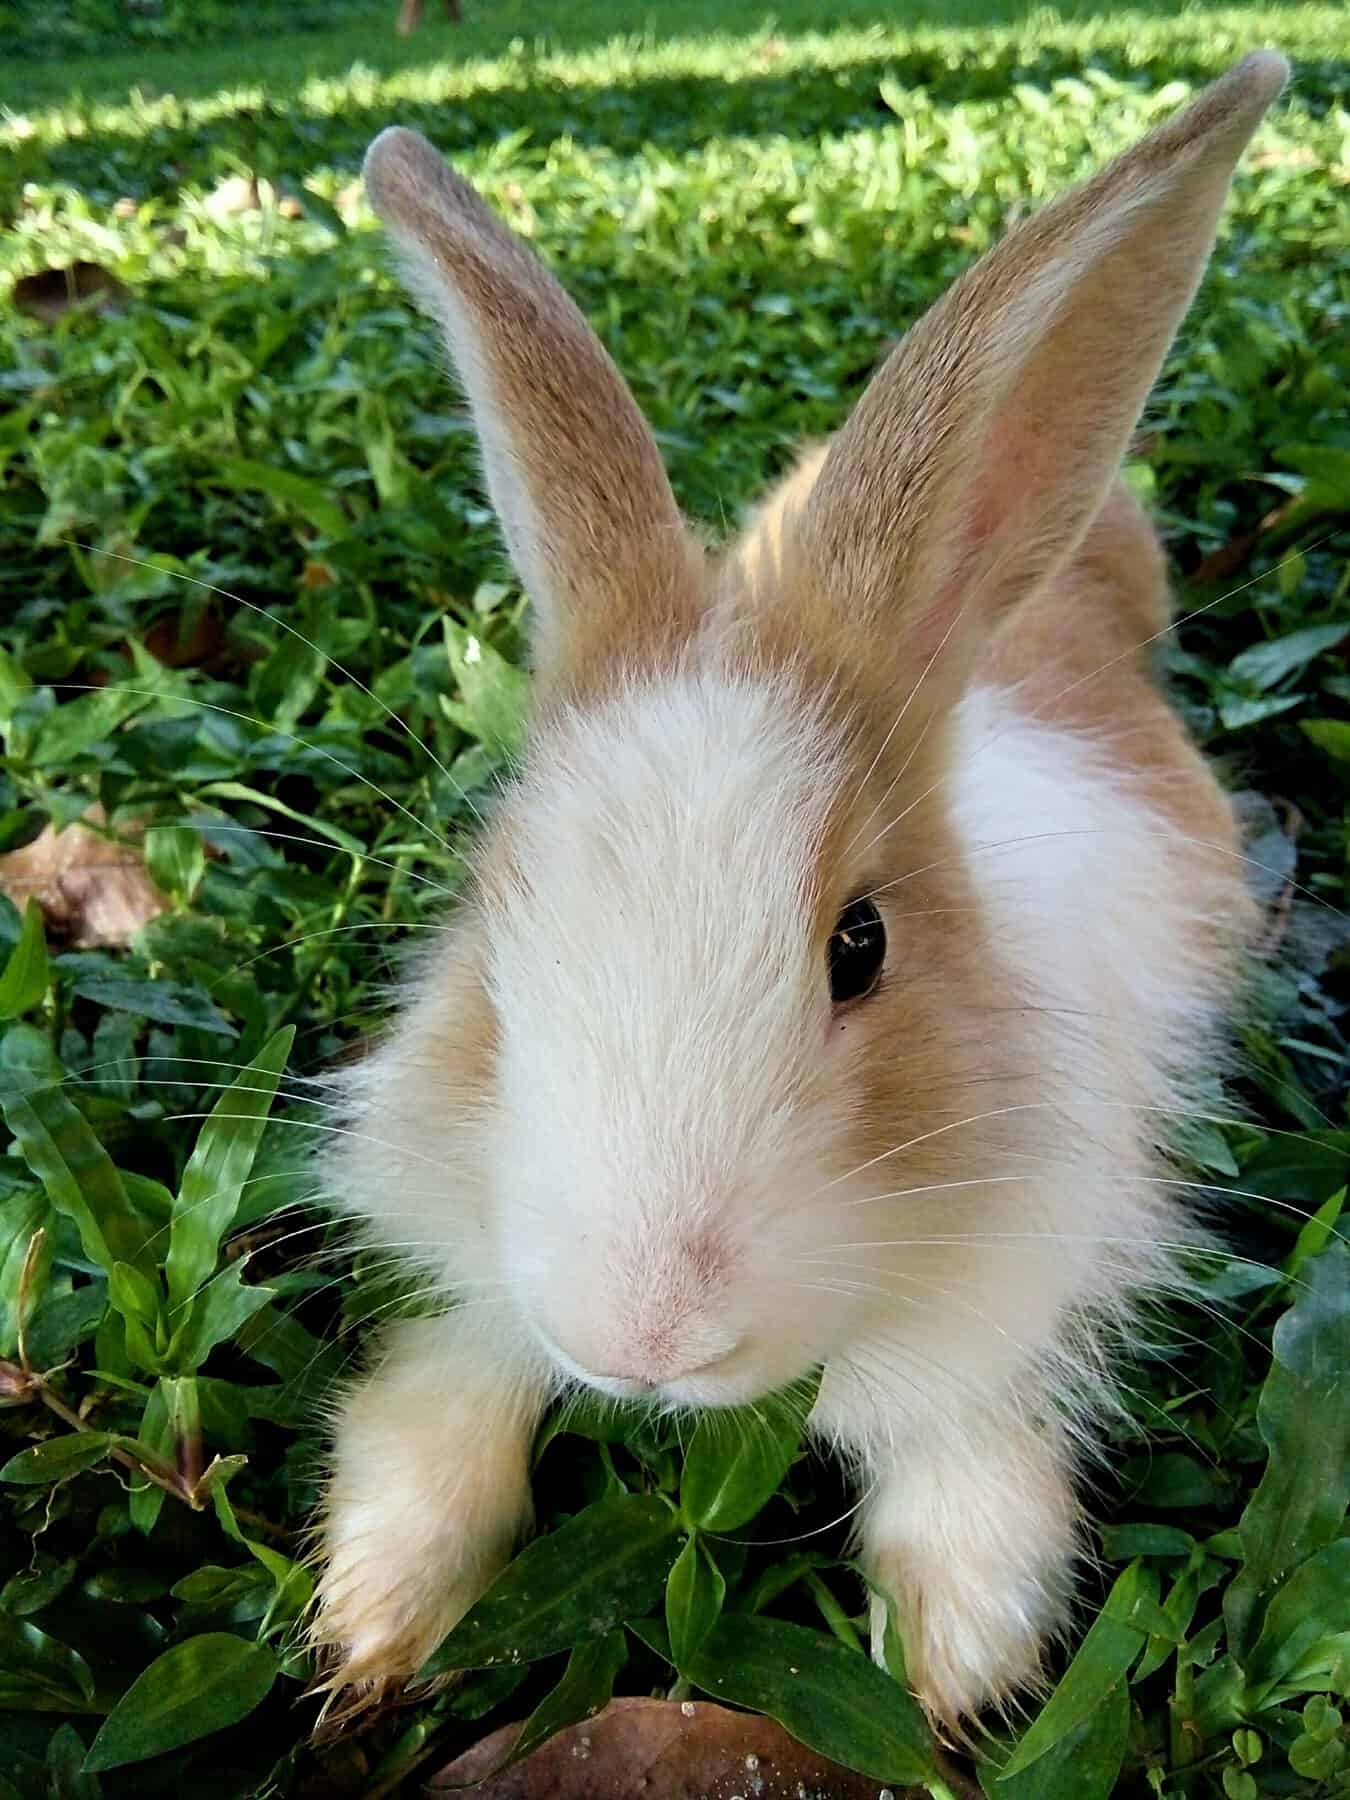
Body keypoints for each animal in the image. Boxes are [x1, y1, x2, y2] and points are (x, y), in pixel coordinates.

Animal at [315, 56, 1288, 1728]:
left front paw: (960, 1666)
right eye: (499, 933)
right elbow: (458, 1381)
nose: (644, 1335)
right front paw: (370, 1614)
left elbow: (964, 1449)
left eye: (861, 946)